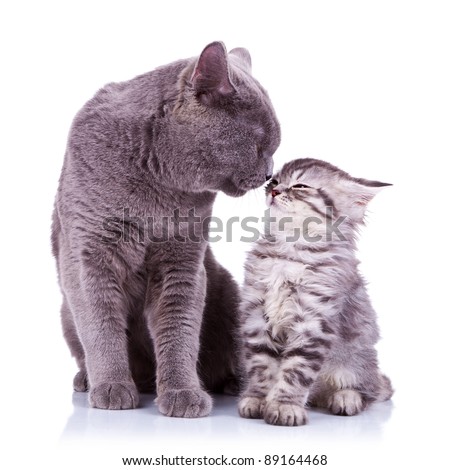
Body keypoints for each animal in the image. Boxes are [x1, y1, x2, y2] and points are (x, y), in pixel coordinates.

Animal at [51, 39, 280, 414]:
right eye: (258, 141)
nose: (269, 174)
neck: (156, 186)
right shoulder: (90, 255)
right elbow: (101, 325)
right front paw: (112, 387)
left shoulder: (183, 259)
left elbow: (178, 327)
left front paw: (182, 392)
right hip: (64, 312)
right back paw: (87, 380)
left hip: (229, 296)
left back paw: (234, 384)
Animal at [239, 158, 394, 426]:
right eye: (275, 181)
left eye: (300, 186)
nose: (274, 191)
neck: (289, 248)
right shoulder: (256, 314)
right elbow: (261, 364)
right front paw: (258, 399)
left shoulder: (313, 319)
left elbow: (296, 370)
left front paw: (284, 405)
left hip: (357, 360)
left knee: (370, 390)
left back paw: (346, 398)